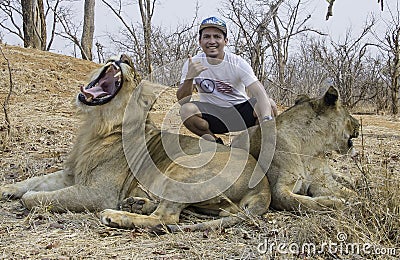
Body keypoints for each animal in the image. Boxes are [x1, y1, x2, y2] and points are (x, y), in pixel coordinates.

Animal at [0, 54, 272, 232]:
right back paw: (137, 204)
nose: (125, 58)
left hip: (184, 171)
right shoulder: (71, 173)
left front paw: (30, 198)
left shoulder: (99, 193)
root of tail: (264, 186)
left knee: (167, 218)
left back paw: (116, 216)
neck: (96, 126)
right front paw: (7, 188)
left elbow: (41, 197)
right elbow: (35, 180)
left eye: (135, 74)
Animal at [231, 86, 360, 212]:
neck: (310, 147)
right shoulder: (278, 190)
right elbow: (302, 203)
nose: (359, 123)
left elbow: (352, 194)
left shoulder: (323, 181)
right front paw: (335, 202)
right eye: (349, 115)